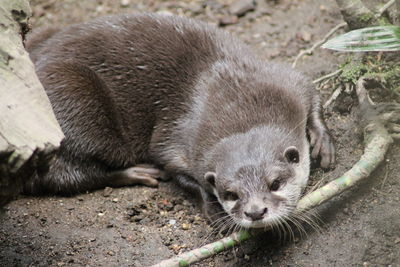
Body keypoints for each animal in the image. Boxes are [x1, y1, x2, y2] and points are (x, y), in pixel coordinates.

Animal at [25, 13, 334, 229]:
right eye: (230, 193)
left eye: (275, 184)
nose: (255, 212)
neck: (238, 104)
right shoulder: (177, 139)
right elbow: (176, 170)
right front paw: (212, 209)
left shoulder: (282, 82)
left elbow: (310, 91)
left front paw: (323, 141)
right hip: (73, 93)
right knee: (67, 175)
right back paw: (137, 172)